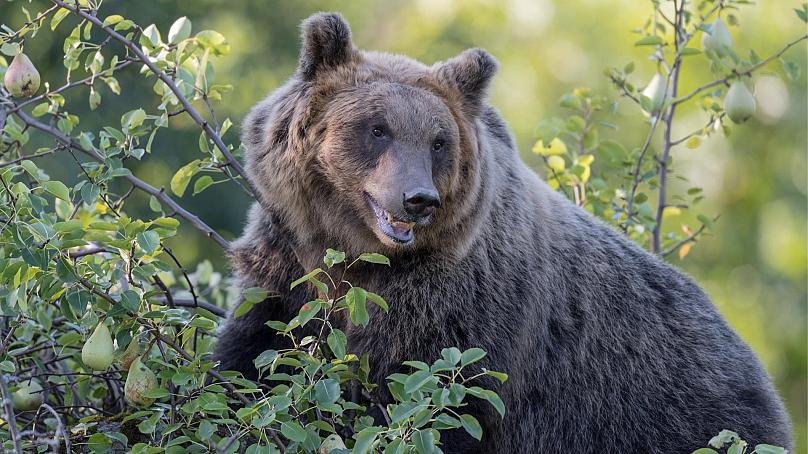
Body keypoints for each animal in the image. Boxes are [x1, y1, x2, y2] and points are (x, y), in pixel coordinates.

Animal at [213, 12, 788, 452]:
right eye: (377, 129)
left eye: (438, 141)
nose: (418, 199)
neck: (358, 255)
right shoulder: (286, 259)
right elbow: (255, 353)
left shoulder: (458, 306)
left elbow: (429, 397)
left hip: (669, 410)